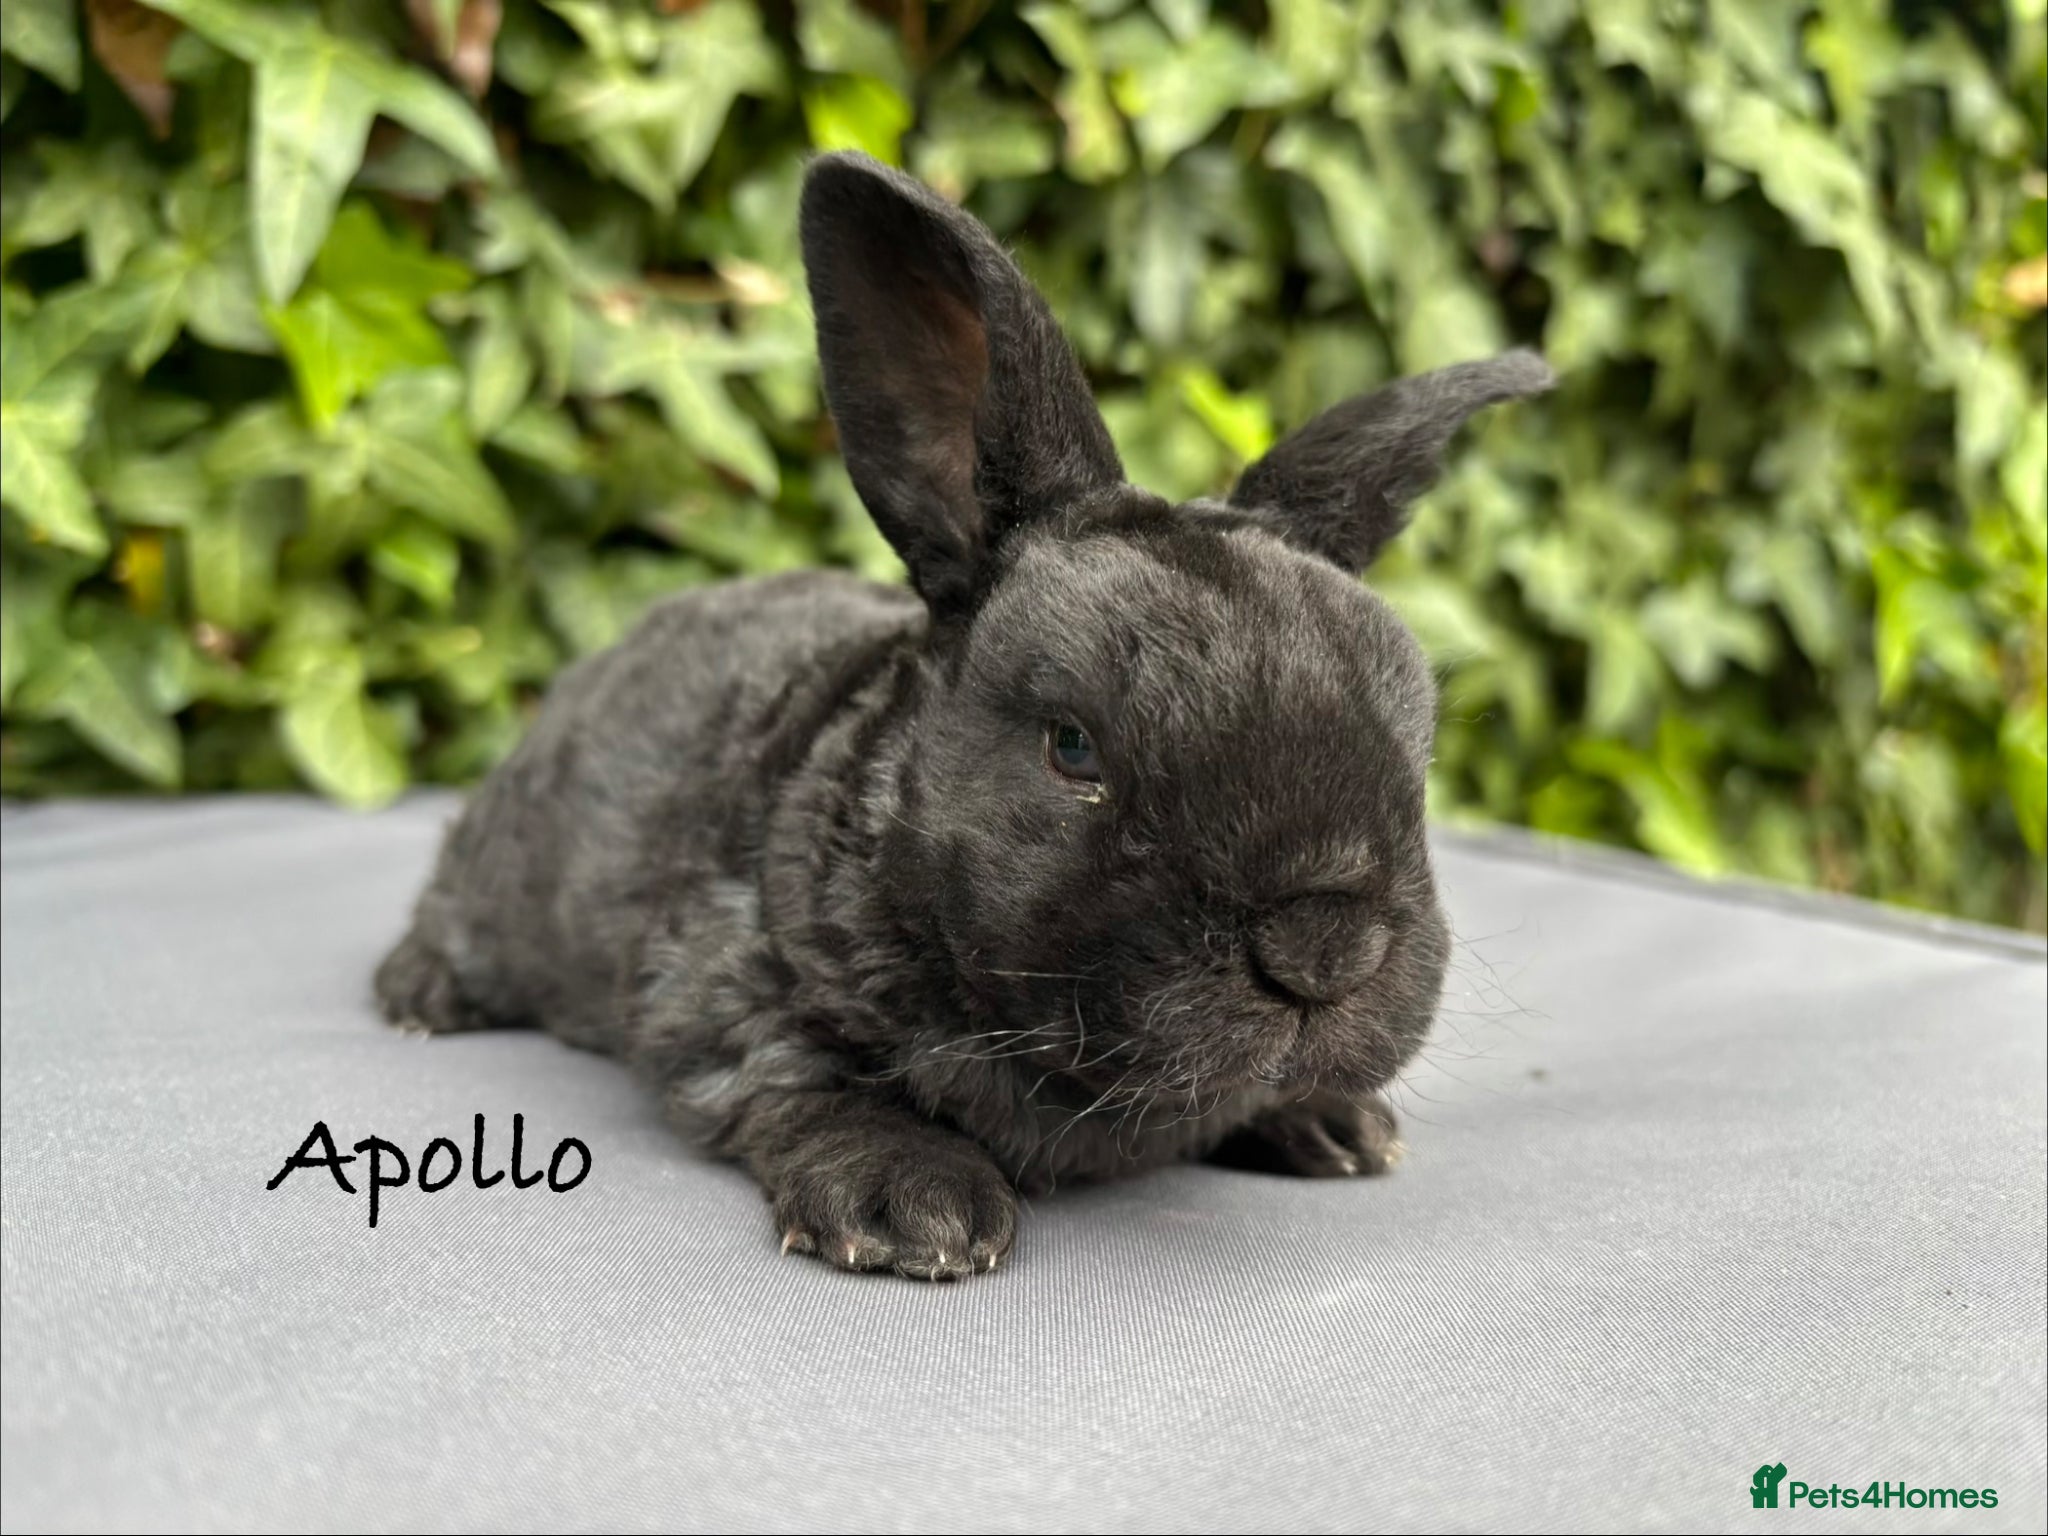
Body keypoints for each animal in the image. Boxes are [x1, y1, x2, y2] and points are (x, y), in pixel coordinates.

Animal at [374, 151, 1553, 1281]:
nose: (1323, 951)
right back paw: (420, 999)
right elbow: (800, 1077)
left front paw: (1336, 1126)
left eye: (1415, 743)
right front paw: (913, 1208)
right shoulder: (717, 984)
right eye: (1072, 746)